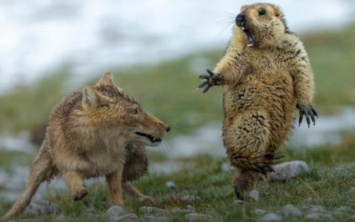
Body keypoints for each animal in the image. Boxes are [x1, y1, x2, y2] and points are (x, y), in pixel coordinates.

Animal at [2, 71, 170, 219]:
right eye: (134, 111)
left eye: (140, 109)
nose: (168, 127)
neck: (98, 148)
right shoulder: (68, 166)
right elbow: (73, 179)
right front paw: (78, 191)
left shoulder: (115, 167)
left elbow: (116, 191)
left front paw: (120, 209)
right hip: (39, 170)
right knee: (24, 197)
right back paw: (9, 215)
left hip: (138, 165)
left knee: (125, 182)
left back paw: (143, 198)